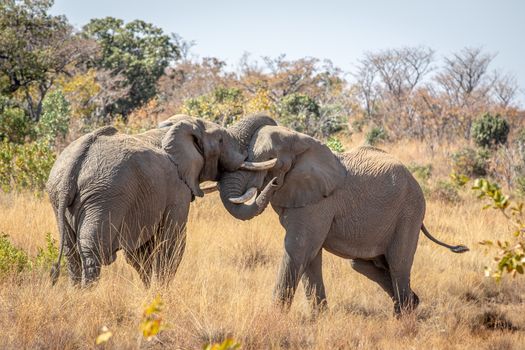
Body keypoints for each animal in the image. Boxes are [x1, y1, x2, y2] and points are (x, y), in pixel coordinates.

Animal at [47, 113, 278, 286]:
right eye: (221, 139)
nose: (274, 181)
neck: (170, 130)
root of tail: (74, 163)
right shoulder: (177, 189)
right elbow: (172, 243)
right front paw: (161, 293)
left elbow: (140, 252)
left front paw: (150, 291)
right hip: (102, 197)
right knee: (91, 252)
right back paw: (88, 294)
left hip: (61, 200)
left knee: (71, 253)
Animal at [217, 123, 466, 314]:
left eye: (271, 160)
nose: (273, 182)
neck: (301, 141)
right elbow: (309, 256)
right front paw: (319, 319)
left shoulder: (319, 203)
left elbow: (298, 249)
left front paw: (275, 318)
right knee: (364, 264)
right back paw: (411, 305)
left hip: (409, 212)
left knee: (398, 264)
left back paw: (404, 317)